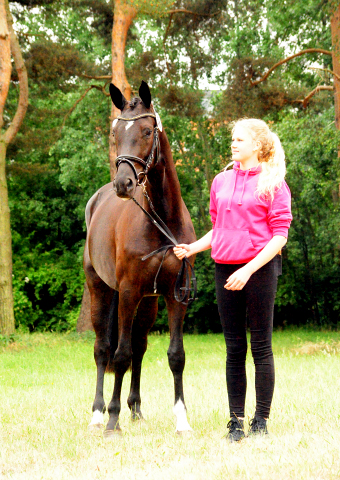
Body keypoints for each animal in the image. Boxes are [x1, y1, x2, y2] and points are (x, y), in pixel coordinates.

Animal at [83, 80, 197, 436]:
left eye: (147, 131)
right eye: (115, 132)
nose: (124, 183)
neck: (162, 219)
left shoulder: (175, 295)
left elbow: (175, 355)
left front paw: (182, 420)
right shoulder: (128, 292)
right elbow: (120, 354)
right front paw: (112, 420)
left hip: (149, 302)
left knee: (140, 347)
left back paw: (135, 409)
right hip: (102, 291)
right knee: (103, 349)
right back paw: (98, 413)